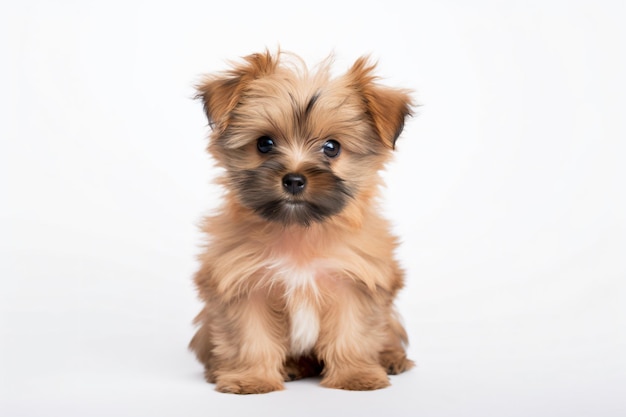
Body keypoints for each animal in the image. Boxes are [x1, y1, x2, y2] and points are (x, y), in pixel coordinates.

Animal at [190, 50, 414, 392]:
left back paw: (391, 358)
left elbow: (352, 334)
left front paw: (355, 376)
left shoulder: (356, 281)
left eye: (332, 147)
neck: (299, 230)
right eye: (264, 143)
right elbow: (250, 337)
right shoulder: (242, 283)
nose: (294, 180)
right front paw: (251, 378)